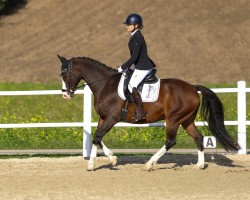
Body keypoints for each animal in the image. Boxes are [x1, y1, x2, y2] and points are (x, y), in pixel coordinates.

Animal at [58, 55, 240, 171]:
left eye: (65, 74)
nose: (65, 95)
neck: (105, 85)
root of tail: (193, 88)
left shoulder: (111, 118)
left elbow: (97, 137)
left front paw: (113, 160)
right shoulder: (103, 118)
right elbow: (97, 138)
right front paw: (92, 164)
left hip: (173, 119)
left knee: (170, 141)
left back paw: (149, 164)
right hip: (186, 120)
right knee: (199, 138)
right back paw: (199, 165)